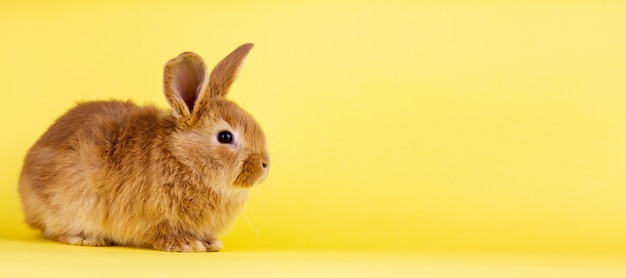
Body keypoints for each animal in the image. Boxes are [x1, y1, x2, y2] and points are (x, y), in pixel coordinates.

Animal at [18, 43, 266, 252]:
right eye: (225, 136)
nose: (264, 165)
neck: (183, 158)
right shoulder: (154, 217)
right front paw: (188, 244)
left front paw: (211, 243)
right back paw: (86, 238)